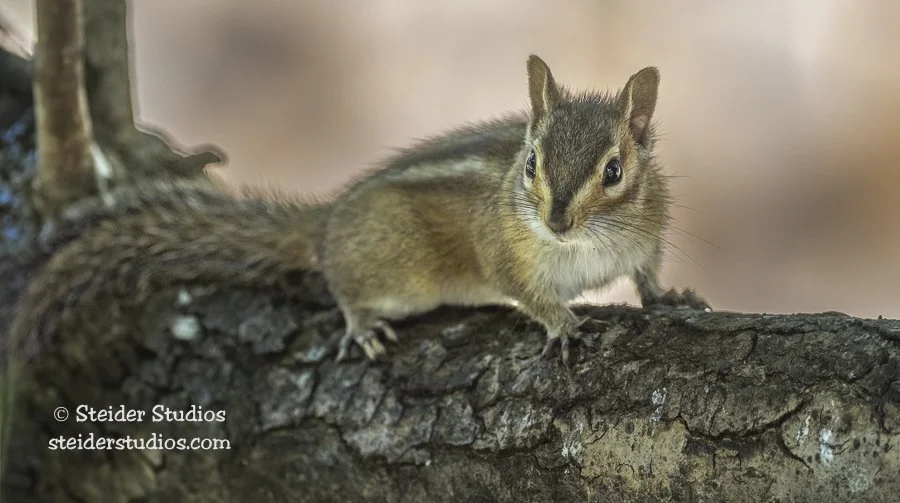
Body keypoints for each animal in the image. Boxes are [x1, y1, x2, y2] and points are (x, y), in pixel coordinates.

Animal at [8, 55, 708, 366]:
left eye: (613, 172)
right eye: (531, 162)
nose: (556, 221)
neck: (584, 245)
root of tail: (329, 218)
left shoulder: (646, 236)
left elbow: (645, 273)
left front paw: (668, 295)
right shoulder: (505, 252)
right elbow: (527, 293)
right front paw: (562, 324)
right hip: (394, 275)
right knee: (343, 282)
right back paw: (362, 323)